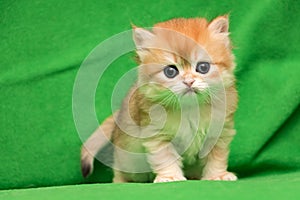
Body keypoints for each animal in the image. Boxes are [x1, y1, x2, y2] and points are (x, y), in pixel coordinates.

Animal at [80, 14, 239, 182]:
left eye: (203, 67)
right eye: (170, 71)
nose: (189, 81)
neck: (190, 109)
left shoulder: (219, 133)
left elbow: (217, 158)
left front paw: (217, 175)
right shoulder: (157, 136)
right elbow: (166, 158)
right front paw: (171, 177)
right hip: (128, 160)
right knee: (119, 170)